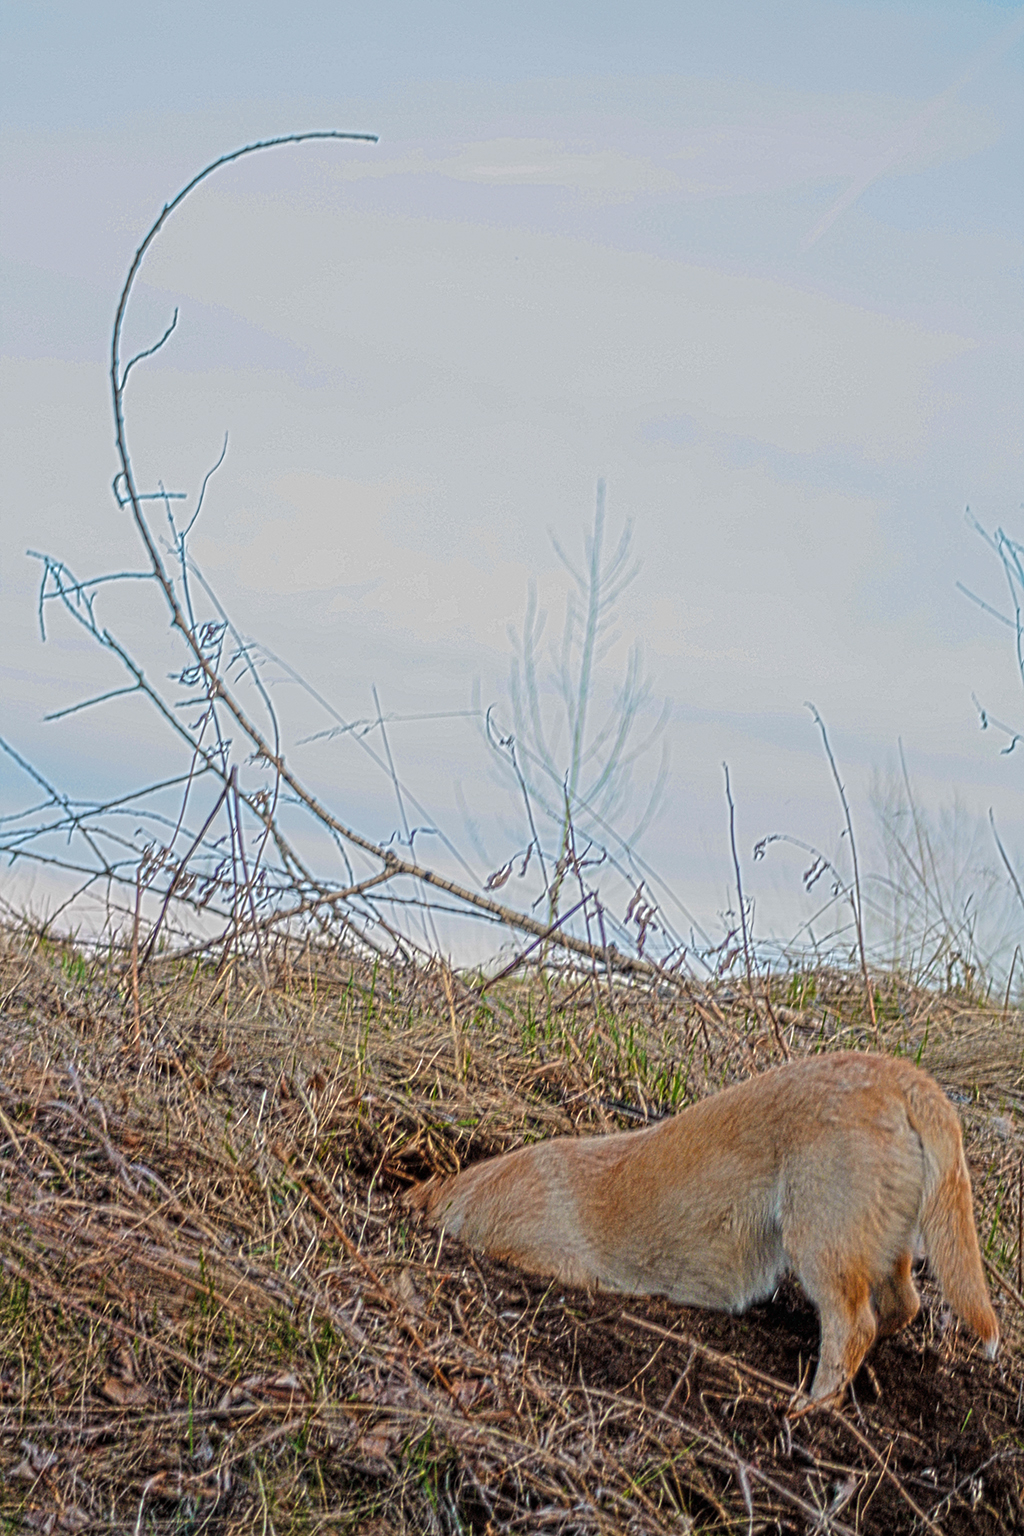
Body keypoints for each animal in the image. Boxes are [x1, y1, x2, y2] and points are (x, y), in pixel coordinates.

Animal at [411, 1050, 1000, 1400]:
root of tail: (899, 1073)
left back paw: (807, 1410)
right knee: (900, 1306)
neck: (467, 1192)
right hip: (880, 1247)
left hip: (819, 1240)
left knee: (854, 1327)